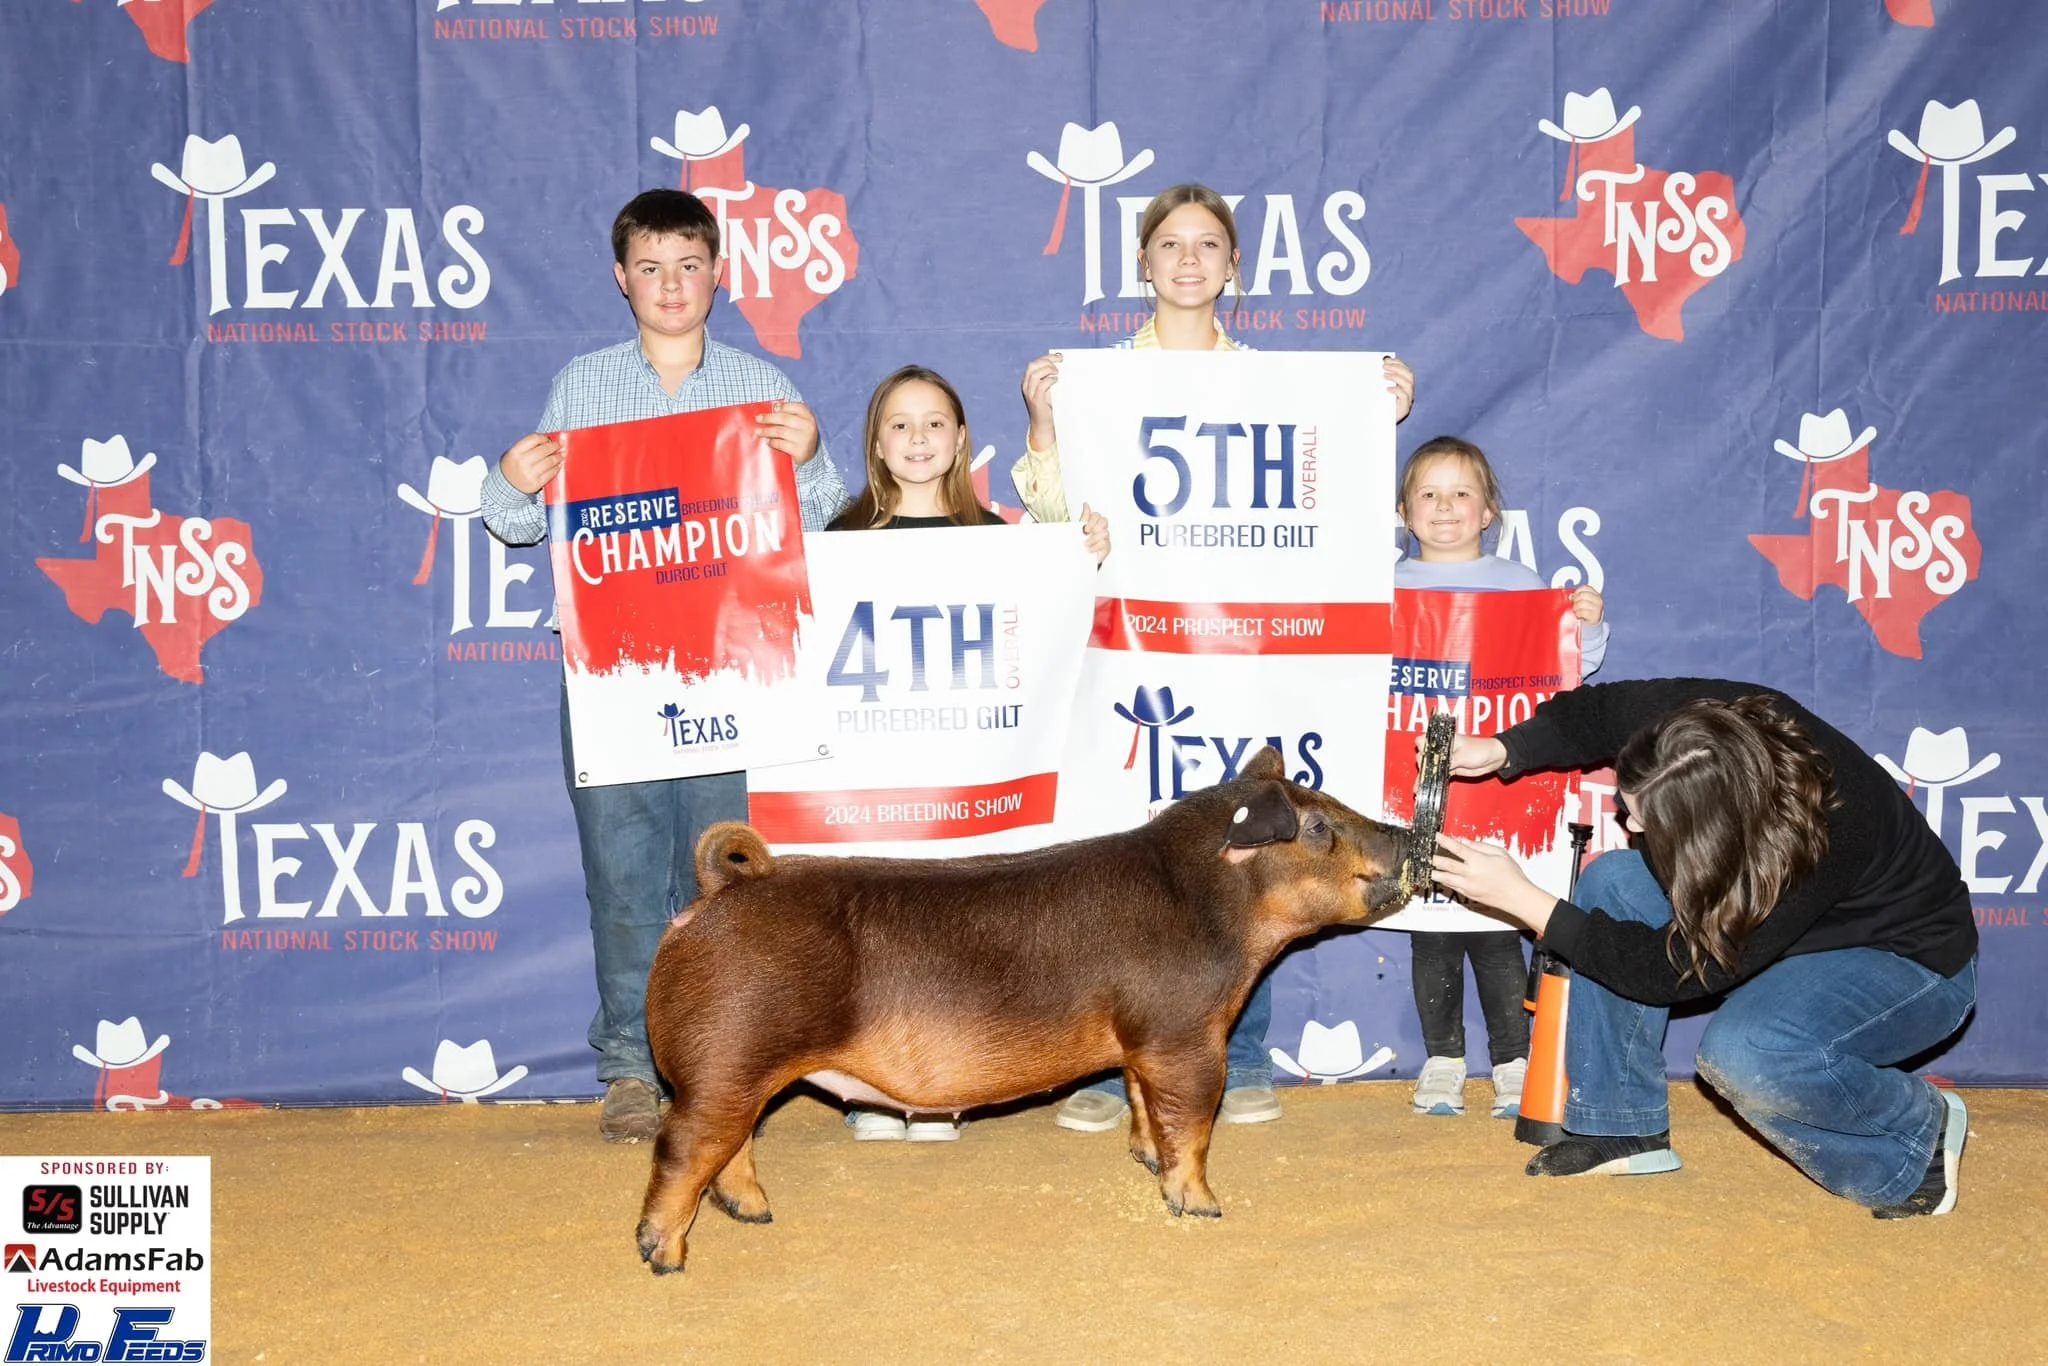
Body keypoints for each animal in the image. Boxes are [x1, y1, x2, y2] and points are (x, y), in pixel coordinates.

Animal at [635, 746, 1412, 1274]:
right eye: (1316, 827)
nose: (1404, 833)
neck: (1221, 911)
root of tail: (721, 893)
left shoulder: (1140, 1042)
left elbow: (1142, 1101)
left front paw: (1142, 1158)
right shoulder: (1185, 1033)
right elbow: (1191, 1123)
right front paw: (1202, 1205)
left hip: (738, 1068)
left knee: (730, 1146)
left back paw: (755, 1214)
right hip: (727, 1055)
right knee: (683, 1146)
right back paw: (664, 1256)